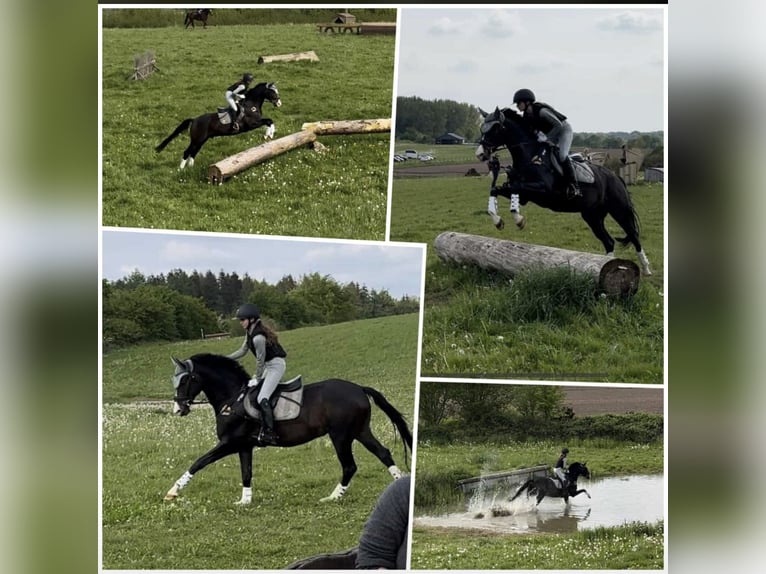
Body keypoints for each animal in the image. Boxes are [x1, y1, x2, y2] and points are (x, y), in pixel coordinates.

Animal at [156, 82, 284, 170]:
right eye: (273, 92)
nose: (279, 103)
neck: (251, 105)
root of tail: (194, 120)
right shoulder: (252, 123)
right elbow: (268, 121)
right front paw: (268, 135)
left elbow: (270, 121)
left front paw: (270, 135)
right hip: (197, 139)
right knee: (187, 152)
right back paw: (181, 169)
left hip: (202, 140)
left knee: (193, 152)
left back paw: (191, 168)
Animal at [164, 354, 414, 506]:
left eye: (185, 380)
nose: (178, 409)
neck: (233, 398)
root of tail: (359, 389)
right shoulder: (244, 446)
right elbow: (246, 473)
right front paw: (245, 501)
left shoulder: (229, 443)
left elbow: (199, 462)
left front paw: (173, 491)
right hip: (360, 431)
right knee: (383, 453)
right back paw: (399, 484)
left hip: (341, 436)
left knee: (349, 466)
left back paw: (332, 497)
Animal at [476, 109, 652, 280]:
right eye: (482, 129)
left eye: (495, 128)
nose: (480, 154)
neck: (529, 155)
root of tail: (615, 177)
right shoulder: (526, 194)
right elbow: (498, 189)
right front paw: (498, 220)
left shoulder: (543, 190)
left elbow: (515, 187)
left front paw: (518, 219)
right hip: (592, 216)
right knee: (608, 241)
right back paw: (603, 264)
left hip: (619, 211)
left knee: (634, 236)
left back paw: (646, 268)